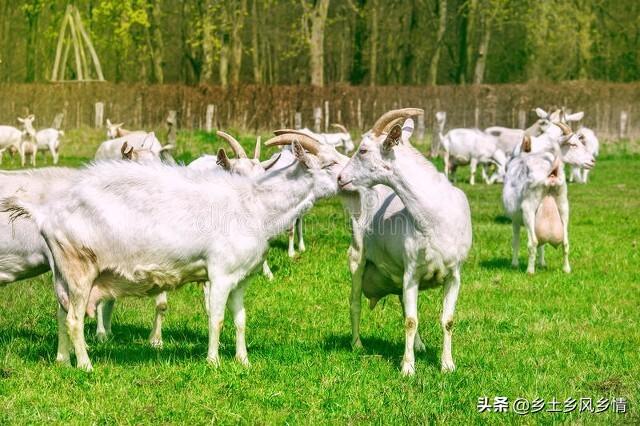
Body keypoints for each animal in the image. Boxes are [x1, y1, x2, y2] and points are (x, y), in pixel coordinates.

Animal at [2, 132, 348, 370]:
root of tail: (45, 214)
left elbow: (240, 319)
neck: (254, 206)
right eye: (330, 163)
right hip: (79, 269)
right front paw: (213, 362)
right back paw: (86, 365)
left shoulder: (241, 279)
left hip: (63, 272)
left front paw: (243, 361)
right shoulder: (220, 274)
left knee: (61, 312)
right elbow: (216, 318)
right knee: (74, 318)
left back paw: (62, 360)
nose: (348, 176)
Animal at [338, 108, 472, 374]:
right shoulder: (412, 272)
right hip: (357, 257)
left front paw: (447, 365)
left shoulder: (454, 275)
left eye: (363, 150)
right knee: (355, 301)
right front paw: (408, 368)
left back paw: (419, 345)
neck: (437, 216)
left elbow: (447, 320)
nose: (340, 178)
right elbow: (411, 320)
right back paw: (357, 344)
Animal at [502, 123, 596, 276]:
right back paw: (566, 269)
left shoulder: (515, 219)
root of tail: (552, 173)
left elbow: (516, 241)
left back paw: (530, 271)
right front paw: (542, 264)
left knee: (533, 242)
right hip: (563, 206)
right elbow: (543, 243)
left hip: (529, 208)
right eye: (573, 144)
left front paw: (514, 264)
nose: (592, 161)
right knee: (565, 242)